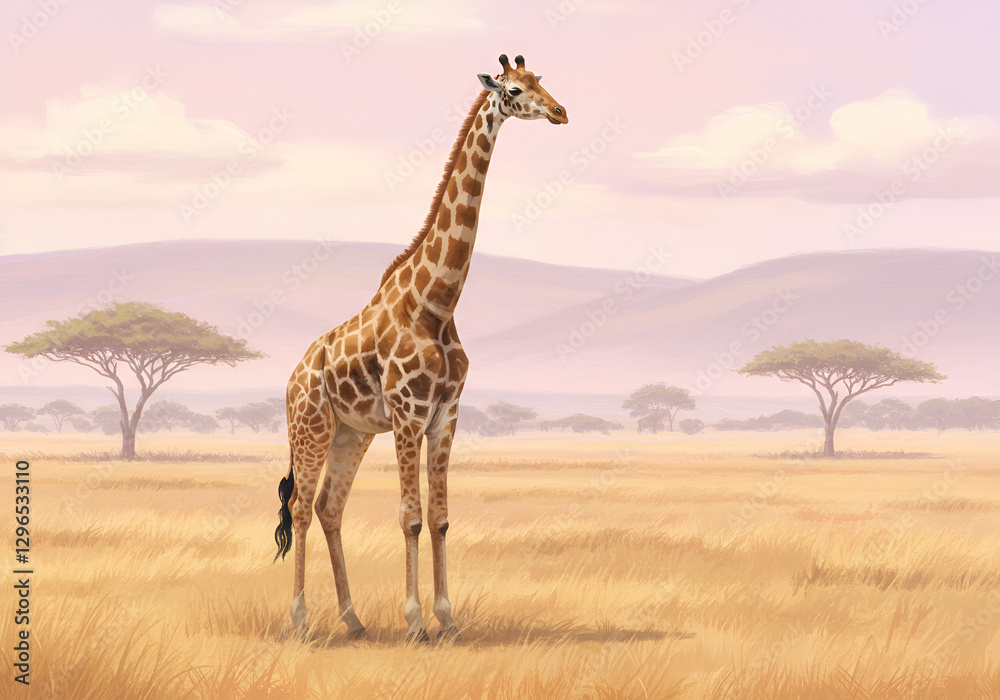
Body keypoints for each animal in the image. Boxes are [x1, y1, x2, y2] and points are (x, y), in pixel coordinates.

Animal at [273, 54, 567, 643]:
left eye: (544, 81)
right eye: (515, 89)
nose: (560, 112)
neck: (436, 303)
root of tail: (292, 377)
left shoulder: (446, 414)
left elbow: (440, 516)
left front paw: (447, 619)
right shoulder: (409, 413)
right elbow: (409, 516)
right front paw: (415, 622)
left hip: (352, 433)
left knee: (329, 507)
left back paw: (354, 620)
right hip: (311, 427)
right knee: (300, 507)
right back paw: (301, 621)